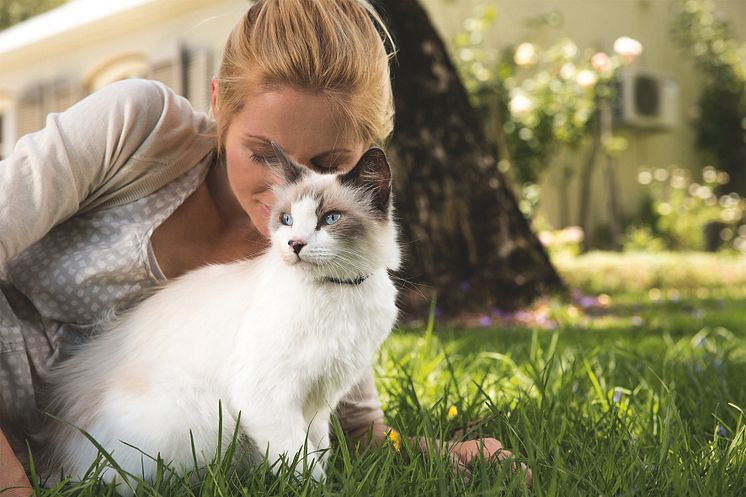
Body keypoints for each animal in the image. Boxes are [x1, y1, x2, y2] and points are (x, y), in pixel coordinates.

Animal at [34, 145, 398, 490]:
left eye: (331, 218)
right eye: (287, 219)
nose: (295, 244)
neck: (336, 292)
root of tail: (57, 461)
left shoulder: (319, 401)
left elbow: (320, 451)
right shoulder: (268, 396)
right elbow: (304, 464)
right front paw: (320, 487)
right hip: (201, 415)